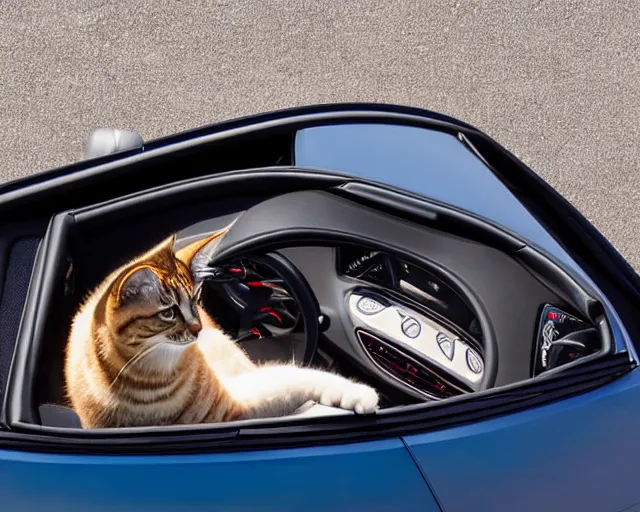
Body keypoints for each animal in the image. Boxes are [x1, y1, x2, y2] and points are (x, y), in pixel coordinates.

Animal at [64, 231, 378, 428]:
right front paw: (359, 394)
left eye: (194, 300)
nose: (197, 328)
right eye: (169, 313)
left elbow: (304, 376)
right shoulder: (235, 409)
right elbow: (300, 379)